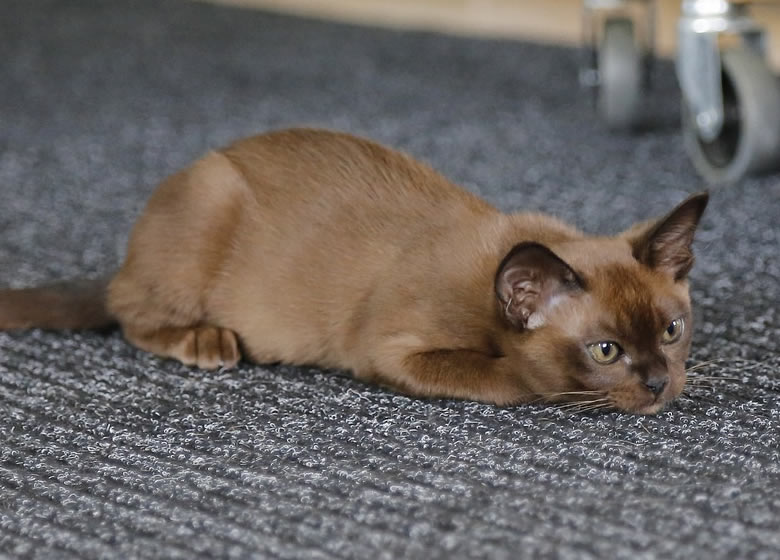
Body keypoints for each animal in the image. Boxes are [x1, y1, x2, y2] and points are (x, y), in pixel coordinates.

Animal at [0, 129, 708, 414]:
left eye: (672, 333)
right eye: (606, 350)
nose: (658, 384)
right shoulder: (390, 351)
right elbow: (512, 378)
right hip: (209, 195)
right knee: (128, 312)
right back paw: (206, 340)